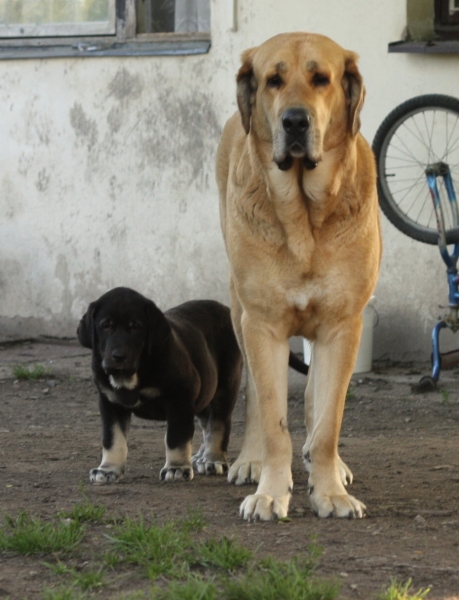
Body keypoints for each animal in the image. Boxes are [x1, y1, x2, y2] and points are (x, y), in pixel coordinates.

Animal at [78, 286, 244, 482]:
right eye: (106, 326)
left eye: (135, 327)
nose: (118, 356)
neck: (132, 374)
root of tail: (225, 309)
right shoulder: (110, 403)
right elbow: (112, 439)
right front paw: (108, 469)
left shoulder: (180, 398)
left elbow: (176, 437)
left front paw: (176, 468)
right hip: (204, 392)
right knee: (207, 423)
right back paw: (201, 456)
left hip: (225, 387)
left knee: (218, 424)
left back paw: (213, 459)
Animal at [217, 34, 382, 520]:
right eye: (273, 79)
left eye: (321, 79)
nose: (294, 120)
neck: (304, 214)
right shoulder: (263, 324)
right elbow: (273, 417)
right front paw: (270, 492)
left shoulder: (342, 325)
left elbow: (329, 417)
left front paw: (329, 491)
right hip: (239, 311)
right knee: (255, 394)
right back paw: (251, 461)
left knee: (315, 400)